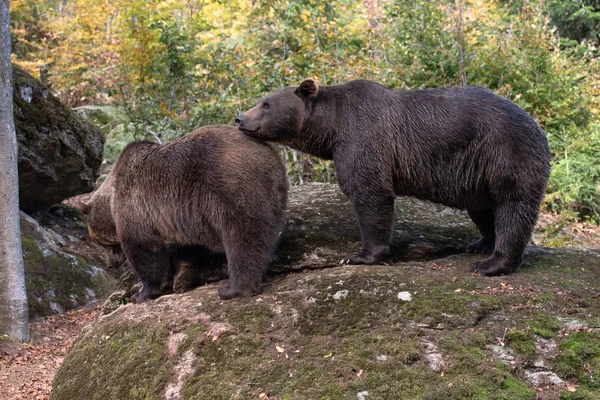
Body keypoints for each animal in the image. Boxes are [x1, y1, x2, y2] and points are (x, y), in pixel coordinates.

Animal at [78, 125, 288, 304]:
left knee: (243, 237)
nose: (110, 264)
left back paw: (233, 288)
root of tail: (273, 156)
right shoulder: (187, 216)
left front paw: (142, 293)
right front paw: (182, 278)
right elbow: (190, 247)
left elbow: (144, 248)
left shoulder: (134, 204)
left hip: (233, 187)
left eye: (100, 242)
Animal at [236, 79, 552, 276]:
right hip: (477, 173)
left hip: (505, 150)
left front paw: (361, 255)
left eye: (265, 103)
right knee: (484, 208)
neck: (332, 127)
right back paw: (480, 243)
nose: (240, 117)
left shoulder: (364, 138)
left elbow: (371, 194)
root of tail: (537, 125)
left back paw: (492, 263)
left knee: (513, 205)